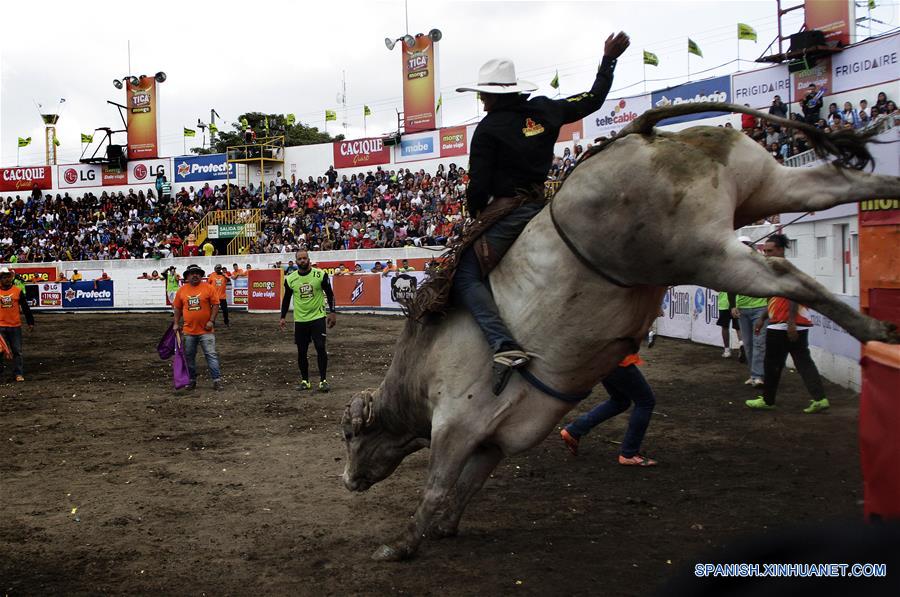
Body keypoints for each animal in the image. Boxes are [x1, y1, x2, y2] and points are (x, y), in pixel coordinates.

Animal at [340, 102, 900, 560]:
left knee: (785, 274)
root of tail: (642, 133)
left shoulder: (456, 425)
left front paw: (401, 544)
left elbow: (437, 486)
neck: (419, 373)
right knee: (833, 182)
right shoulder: (494, 439)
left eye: (350, 435)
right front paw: (444, 528)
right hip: (767, 187)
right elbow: (466, 487)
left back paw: (873, 325)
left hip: (703, 253)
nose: (346, 480)